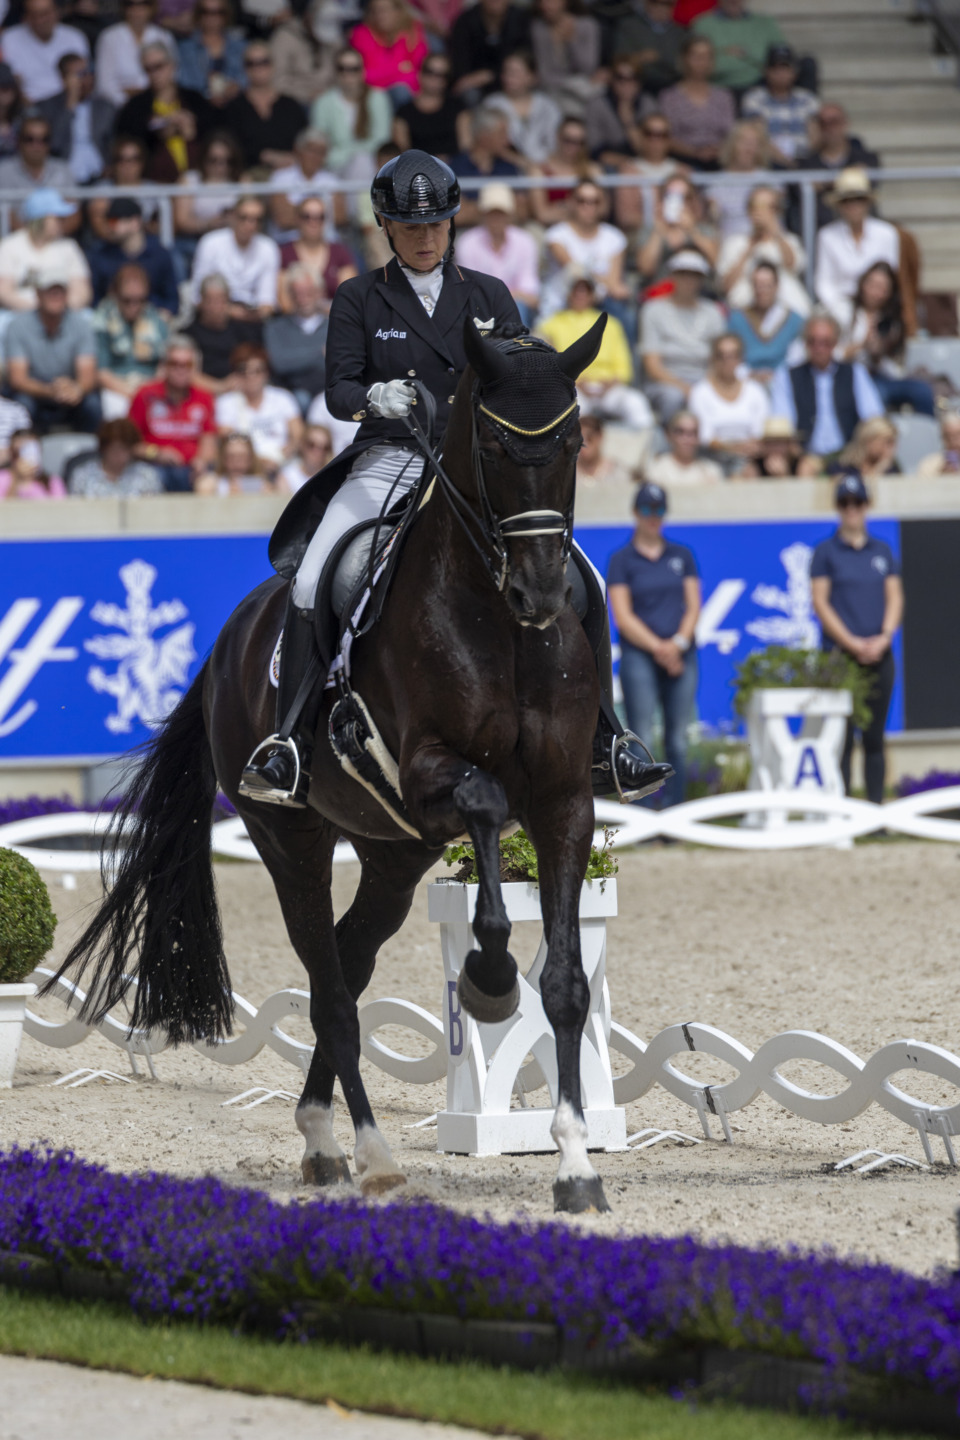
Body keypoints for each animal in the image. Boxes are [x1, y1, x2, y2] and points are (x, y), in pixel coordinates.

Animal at [46, 318, 616, 1215]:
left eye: (573, 440)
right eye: (493, 441)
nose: (542, 593)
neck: (501, 628)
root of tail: (228, 642)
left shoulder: (565, 802)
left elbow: (565, 984)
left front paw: (575, 1165)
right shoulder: (428, 771)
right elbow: (488, 805)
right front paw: (489, 976)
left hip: (394, 851)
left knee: (346, 963)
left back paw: (324, 1134)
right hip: (292, 838)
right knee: (331, 987)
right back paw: (365, 1153)